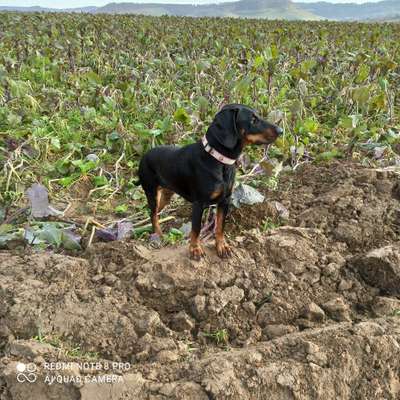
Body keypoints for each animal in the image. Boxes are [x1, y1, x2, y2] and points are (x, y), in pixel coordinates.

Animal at [139, 104, 282, 260]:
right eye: (253, 120)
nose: (281, 131)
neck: (219, 160)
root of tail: (145, 155)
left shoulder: (225, 200)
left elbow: (220, 227)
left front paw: (222, 246)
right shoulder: (198, 203)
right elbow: (196, 229)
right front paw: (195, 249)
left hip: (166, 195)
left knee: (155, 212)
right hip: (151, 191)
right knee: (153, 214)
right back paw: (158, 234)